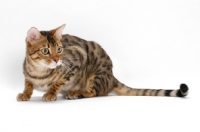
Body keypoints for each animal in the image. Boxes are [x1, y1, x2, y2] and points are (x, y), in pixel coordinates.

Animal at [16, 24, 189, 101]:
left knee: (93, 92)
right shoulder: (26, 74)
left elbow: (57, 82)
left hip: (96, 74)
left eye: (59, 49)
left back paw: (76, 93)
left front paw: (51, 93)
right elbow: (28, 83)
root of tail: (112, 76)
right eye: (45, 51)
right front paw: (25, 93)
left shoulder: (78, 57)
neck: (39, 72)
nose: (57, 60)